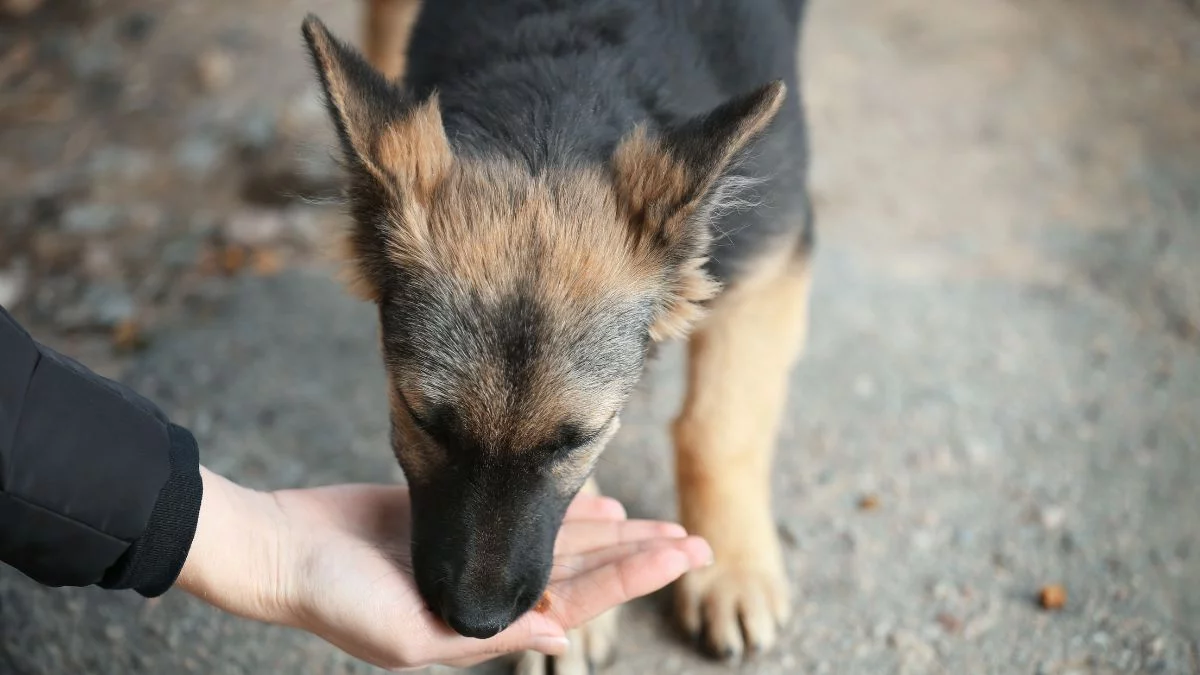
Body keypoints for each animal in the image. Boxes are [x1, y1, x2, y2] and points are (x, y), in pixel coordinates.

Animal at [300, 1, 816, 667]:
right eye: (423, 422)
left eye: (577, 441)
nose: (477, 623)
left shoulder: (770, 264)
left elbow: (719, 428)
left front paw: (730, 569)